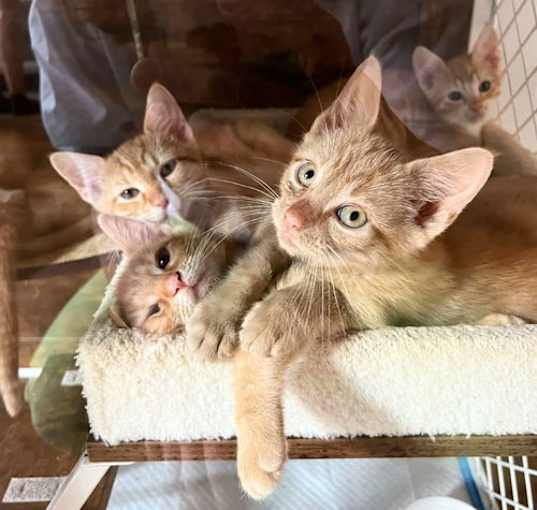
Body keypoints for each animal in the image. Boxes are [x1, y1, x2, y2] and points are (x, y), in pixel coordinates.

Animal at [187, 56, 536, 498]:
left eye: (352, 216)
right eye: (307, 174)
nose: (294, 218)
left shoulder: (387, 302)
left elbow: (319, 299)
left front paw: (270, 321)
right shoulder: (276, 230)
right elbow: (257, 260)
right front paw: (215, 317)